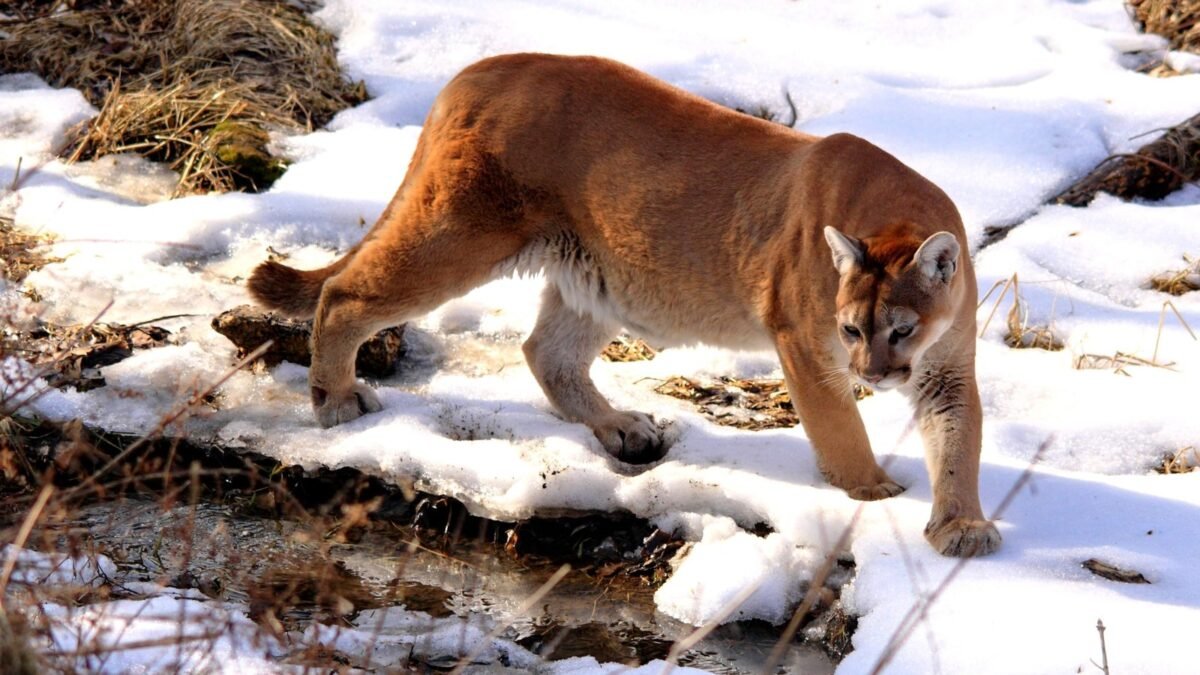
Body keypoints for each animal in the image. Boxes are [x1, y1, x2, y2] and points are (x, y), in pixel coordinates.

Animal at [248, 53, 1000, 557]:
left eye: (902, 329)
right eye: (850, 327)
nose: (873, 374)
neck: (896, 213)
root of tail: (476, 69)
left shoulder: (946, 366)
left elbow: (959, 439)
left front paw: (961, 525)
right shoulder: (805, 345)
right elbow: (841, 430)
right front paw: (872, 493)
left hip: (597, 275)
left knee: (545, 351)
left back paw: (618, 427)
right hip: (461, 233)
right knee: (345, 293)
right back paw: (337, 399)